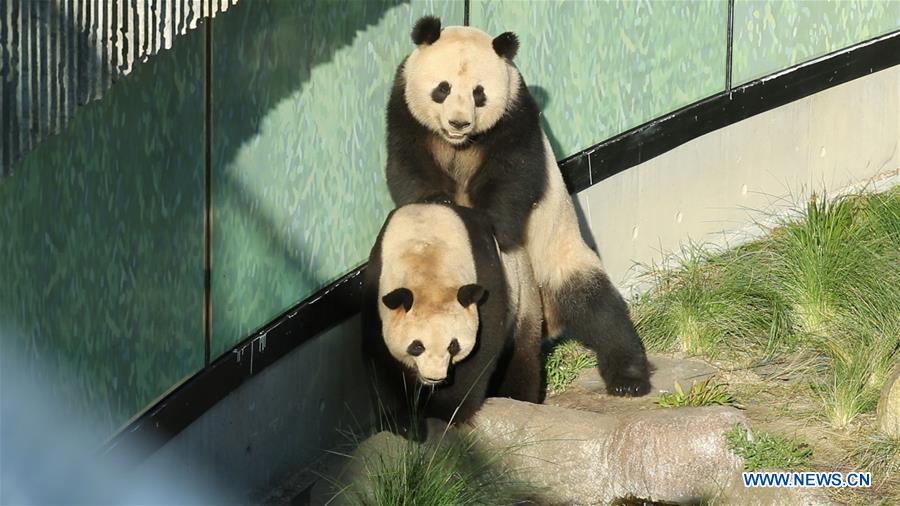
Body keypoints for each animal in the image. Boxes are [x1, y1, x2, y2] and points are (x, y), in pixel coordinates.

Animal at [362, 203, 542, 435]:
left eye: (453, 346)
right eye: (417, 346)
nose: (435, 377)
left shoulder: (486, 273)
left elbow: (482, 348)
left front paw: (447, 412)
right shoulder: (376, 288)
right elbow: (380, 357)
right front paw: (402, 420)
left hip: (523, 295)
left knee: (522, 355)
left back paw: (517, 397)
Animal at [385, 16, 651, 396]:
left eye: (479, 94)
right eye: (442, 89)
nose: (458, 122)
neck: (459, 144)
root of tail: (550, 319)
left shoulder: (516, 113)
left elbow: (515, 172)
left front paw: (490, 226)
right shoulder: (405, 111)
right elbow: (408, 167)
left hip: (559, 256)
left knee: (600, 310)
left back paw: (628, 379)